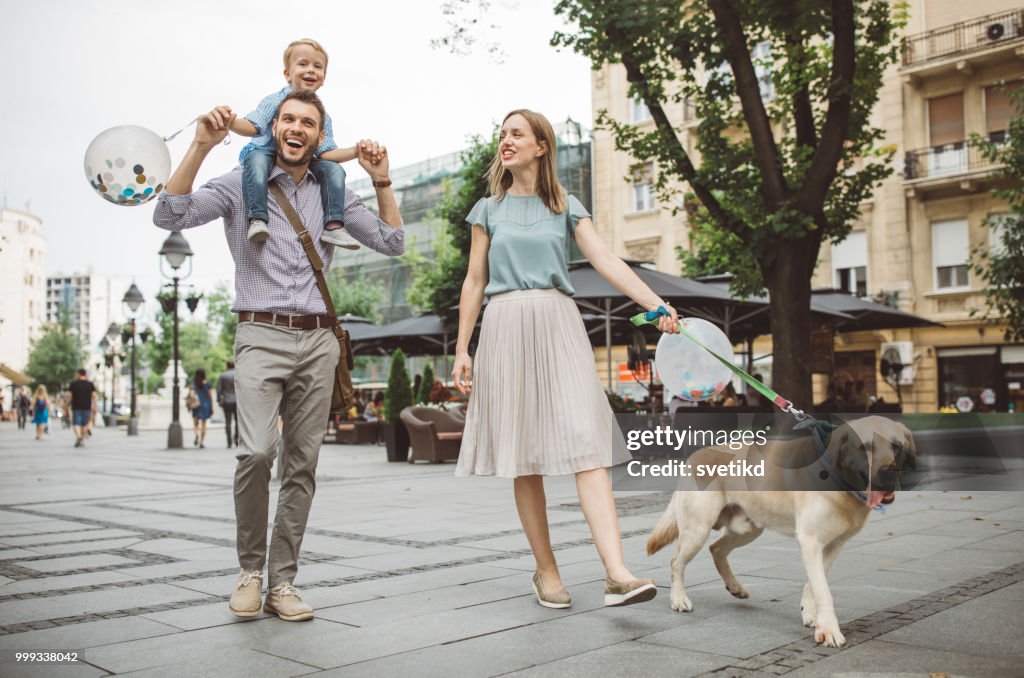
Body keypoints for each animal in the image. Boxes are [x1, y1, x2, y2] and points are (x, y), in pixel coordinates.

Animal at [643, 413, 917, 647]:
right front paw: (829, 629)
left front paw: (811, 613)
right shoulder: (810, 541)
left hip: (748, 528)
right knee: (677, 562)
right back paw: (678, 599)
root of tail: (696, 455)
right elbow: (823, 590)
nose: (889, 474)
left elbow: (814, 584)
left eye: (897, 446)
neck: (840, 481)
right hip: (698, 528)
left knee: (717, 548)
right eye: (866, 446)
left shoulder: (833, 544)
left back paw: (735, 587)